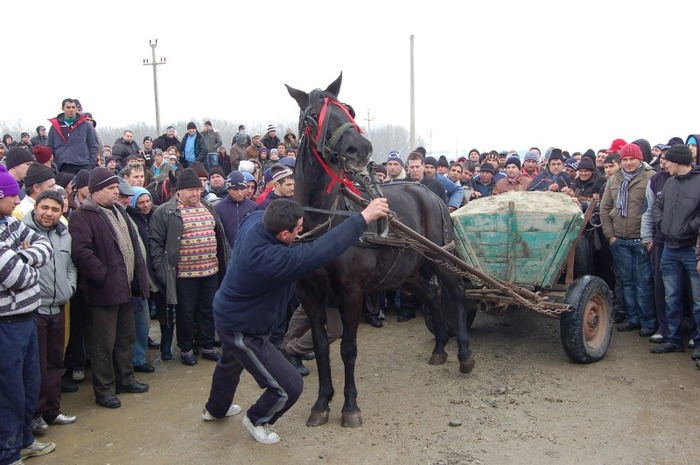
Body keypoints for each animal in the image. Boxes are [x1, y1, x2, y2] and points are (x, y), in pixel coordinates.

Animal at [286, 73, 476, 428]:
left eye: (348, 109)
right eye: (312, 115)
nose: (359, 148)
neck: (326, 221)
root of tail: (430, 192)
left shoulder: (351, 293)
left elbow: (348, 349)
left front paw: (350, 406)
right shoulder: (309, 295)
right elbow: (321, 347)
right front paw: (321, 402)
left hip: (439, 257)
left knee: (455, 292)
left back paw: (465, 354)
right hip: (408, 272)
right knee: (431, 295)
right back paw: (440, 347)